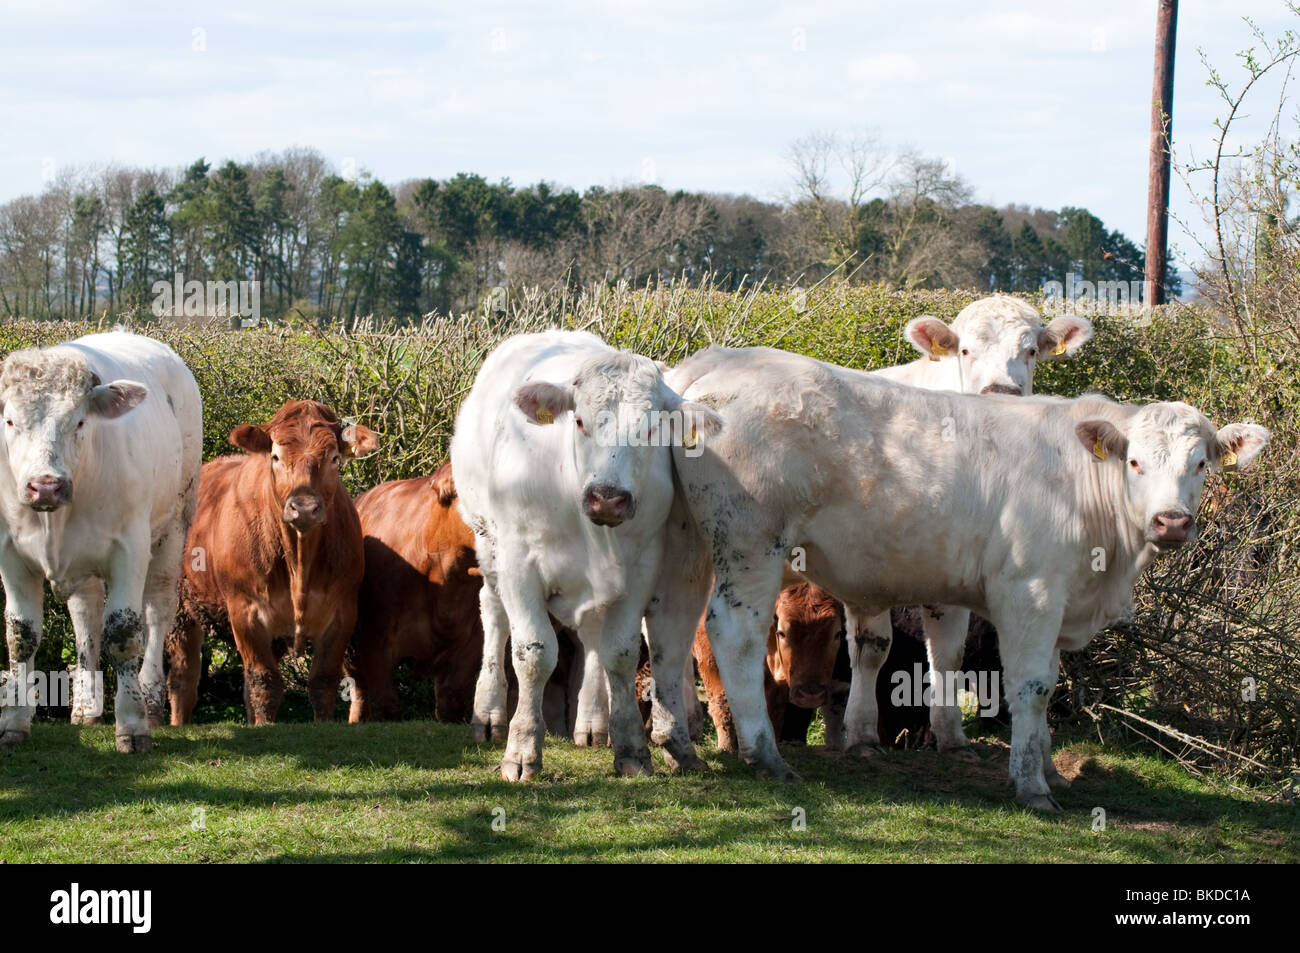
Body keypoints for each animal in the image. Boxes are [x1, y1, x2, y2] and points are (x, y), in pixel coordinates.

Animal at [0, 332, 201, 748]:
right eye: (9, 420)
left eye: (79, 421)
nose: (46, 485)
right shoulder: (9, 554)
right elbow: (21, 635)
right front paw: (14, 721)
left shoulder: (130, 549)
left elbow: (123, 634)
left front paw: (132, 724)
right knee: (85, 614)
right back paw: (85, 707)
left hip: (174, 527)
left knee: (157, 611)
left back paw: (151, 700)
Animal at [163, 400, 377, 722]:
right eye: (276, 456)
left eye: (334, 458)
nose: (304, 507)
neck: (299, 560)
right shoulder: (245, 611)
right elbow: (264, 682)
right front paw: (265, 726)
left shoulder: (343, 612)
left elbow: (323, 682)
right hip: (177, 607)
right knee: (182, 678)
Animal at [452, 330, 722, 774]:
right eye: (579, 421)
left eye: (652, 429)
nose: (607, 497)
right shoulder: (518, 563)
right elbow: (534, 653)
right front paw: (522, 749)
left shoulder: (641, 567)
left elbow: (620, 652)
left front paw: (631, 748)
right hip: (487, 542)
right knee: (493, 613)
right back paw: (488, 714)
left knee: (593, 633)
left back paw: (594, 723)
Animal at [665, 345, 1263, 806]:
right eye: (1135, 462)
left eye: (1201, 464)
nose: (1172, 521)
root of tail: (718, 361)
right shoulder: (1030, 593)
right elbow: (1031, 686)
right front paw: (1032, 787)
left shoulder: (1058, 601)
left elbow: (1043, 680)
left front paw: (1046, 767)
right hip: (750, 545)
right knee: (734, 635)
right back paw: (763, 754)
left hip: (688, 545)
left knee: (671, 625)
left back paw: (679, 743)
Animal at [847, 293, 1092, 754]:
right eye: (964, 350)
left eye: (1031, 350)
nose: (1001, 391)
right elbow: (872, 648)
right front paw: (861, 734)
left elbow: (949, 655)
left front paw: (951, 735)